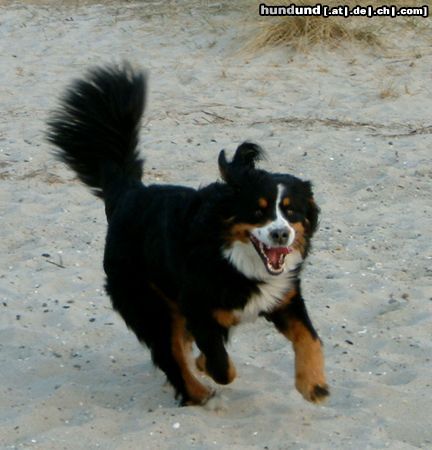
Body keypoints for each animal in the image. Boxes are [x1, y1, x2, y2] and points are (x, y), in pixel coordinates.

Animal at [47, 64, 330, 408]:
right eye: (257, 211)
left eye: (291, 212)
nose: (280, 234)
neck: (232, 256)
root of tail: (130, 193)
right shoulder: (198, 307)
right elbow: (221, 364)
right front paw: (206, 366)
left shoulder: (284, 298)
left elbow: (309, 338)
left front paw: (313, 384)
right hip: (149, 303)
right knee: (169, 355)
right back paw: (197, 392)